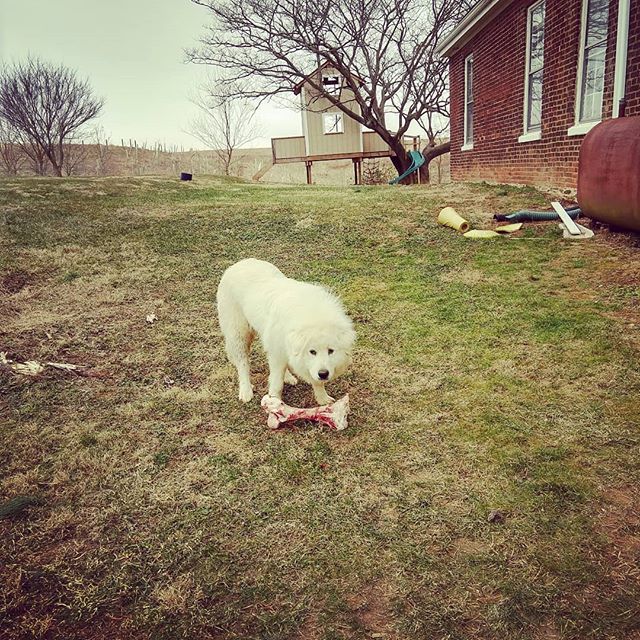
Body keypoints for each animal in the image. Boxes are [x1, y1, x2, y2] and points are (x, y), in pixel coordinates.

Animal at [215, 258, 356, 402]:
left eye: (331, 351)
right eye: (312, 352)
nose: (323, 374)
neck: (312, 316)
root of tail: (239, 263)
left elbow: (315, 381)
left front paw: (323, 399)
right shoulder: (277, 352)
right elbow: (277, 383)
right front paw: (275, 401)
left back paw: (288, 377)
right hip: (238, 334)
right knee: (242, 363)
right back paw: (246, 390)